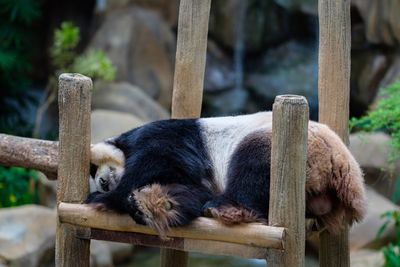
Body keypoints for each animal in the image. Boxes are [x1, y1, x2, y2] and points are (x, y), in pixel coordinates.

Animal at [86, 111, 366, 239]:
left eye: (93, 167)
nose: (102, 182)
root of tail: (341, 160)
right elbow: (190, 189)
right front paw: (158, 204)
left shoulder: (163, 138)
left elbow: (154, 163)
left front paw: (104, 198)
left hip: (284, 144)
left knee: (251, 166)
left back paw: (224, 207)